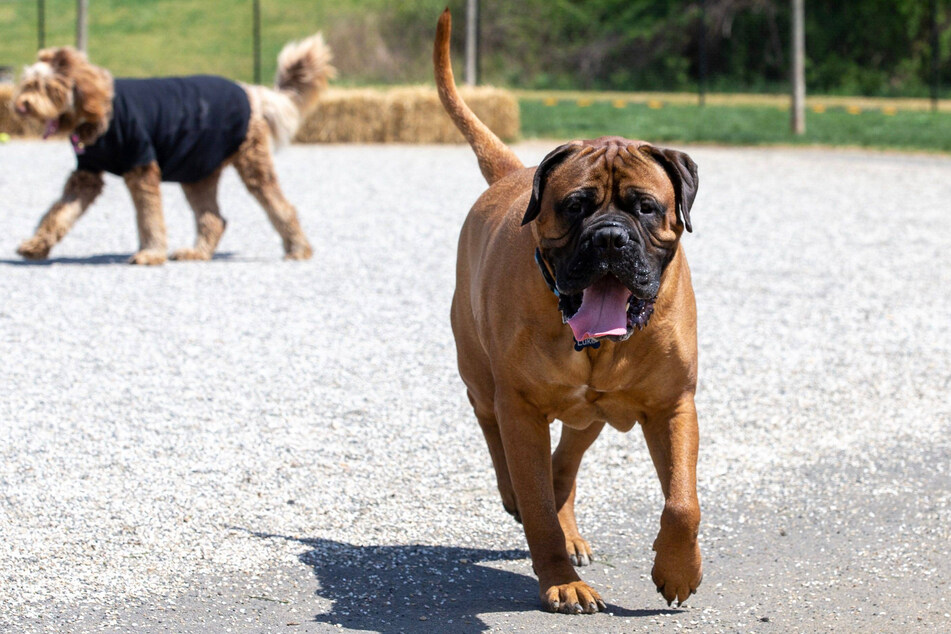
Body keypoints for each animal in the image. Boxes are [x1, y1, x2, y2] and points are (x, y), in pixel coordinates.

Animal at [436, 8, 704, 612]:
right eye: (575, 206)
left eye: (645, 207)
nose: (608, 238)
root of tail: (512, 171)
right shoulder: (520, 407)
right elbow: (537, 508)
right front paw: (561, 580)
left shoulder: (674, 404)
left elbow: (682, 501)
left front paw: (679, 570)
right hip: (480, 374)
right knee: (498, 437)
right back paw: (520, 496)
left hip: (592, 415)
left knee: (565, 462)